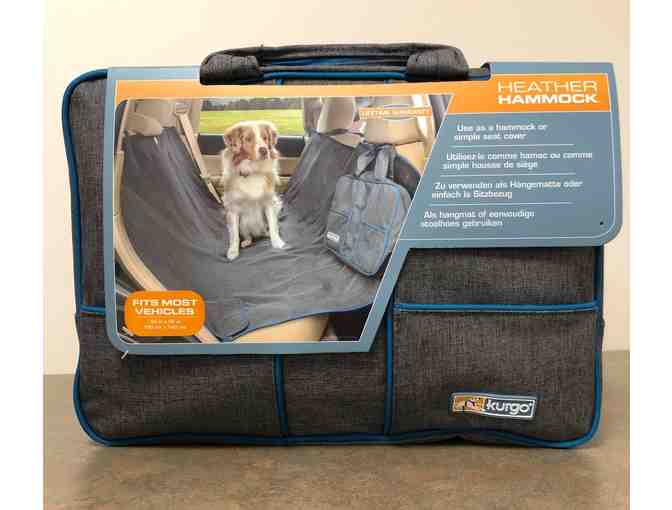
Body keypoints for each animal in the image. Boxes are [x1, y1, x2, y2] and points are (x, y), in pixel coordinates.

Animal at [215, 120, 286, 261]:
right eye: (248, 139)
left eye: (265, 138)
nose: (264, 150)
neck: (253, 171)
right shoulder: (233, 209)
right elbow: (234, 235)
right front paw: (233, 251)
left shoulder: (269, 203)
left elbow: (273, 226)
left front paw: (277, 243)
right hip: (243, 224)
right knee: (247, 235)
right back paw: (246, 242)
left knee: (267, 229)